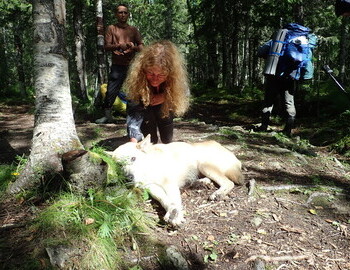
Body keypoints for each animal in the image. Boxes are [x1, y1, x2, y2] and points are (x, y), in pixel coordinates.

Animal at [109, 134, 243, 226]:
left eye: (133, 158)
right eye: (119, 164)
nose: (128, 178)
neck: (149, 167)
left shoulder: (169, 184)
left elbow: (174, 200)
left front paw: (176, 216)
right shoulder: (152, 188)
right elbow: (165, 200)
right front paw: (172, 211)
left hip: (204, 165)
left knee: (229, 182)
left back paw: (218, 193)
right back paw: (202, 182)